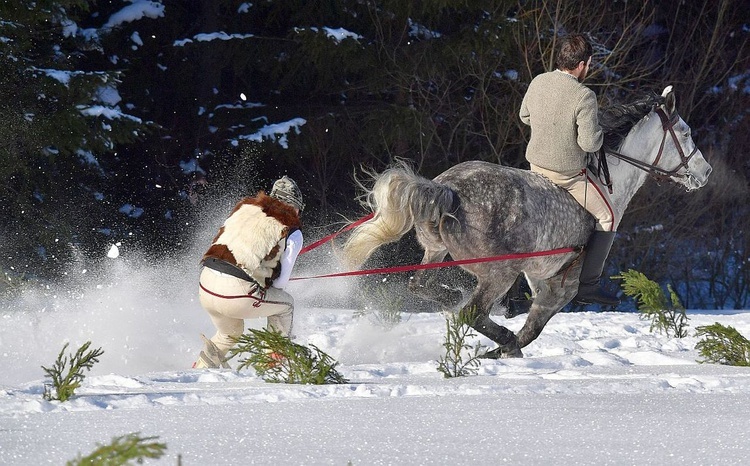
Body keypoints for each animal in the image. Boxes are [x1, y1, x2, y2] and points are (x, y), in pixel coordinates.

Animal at [344, 86, 712, 356]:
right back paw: (488, 325)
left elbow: (530, 330)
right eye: (686, 133)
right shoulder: (560, 289)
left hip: (437, 252)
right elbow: (531, 332)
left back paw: (455, 300)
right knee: (472, 311)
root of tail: (447, 188)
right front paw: (503, 350)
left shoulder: (542, 280)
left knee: (420, 285)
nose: (706, 172)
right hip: (499, 272)